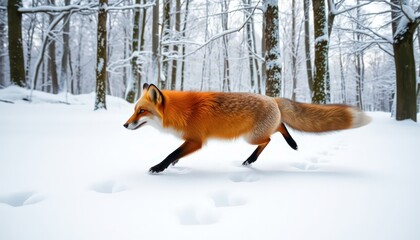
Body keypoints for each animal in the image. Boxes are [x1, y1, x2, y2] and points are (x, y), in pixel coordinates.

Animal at [123, 83, 370, 172]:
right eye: (134, 110)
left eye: (141, 111)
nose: (125, 125)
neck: (181, 111)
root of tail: (272, 98)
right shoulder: (190, 141)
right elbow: (176, 153)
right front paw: (172, 163)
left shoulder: (196, 140)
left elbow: (171, 153)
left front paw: (159, 167)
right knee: (280, 126)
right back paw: (290, 144)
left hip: (250, 137)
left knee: (271, 137)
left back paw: (255, 158)